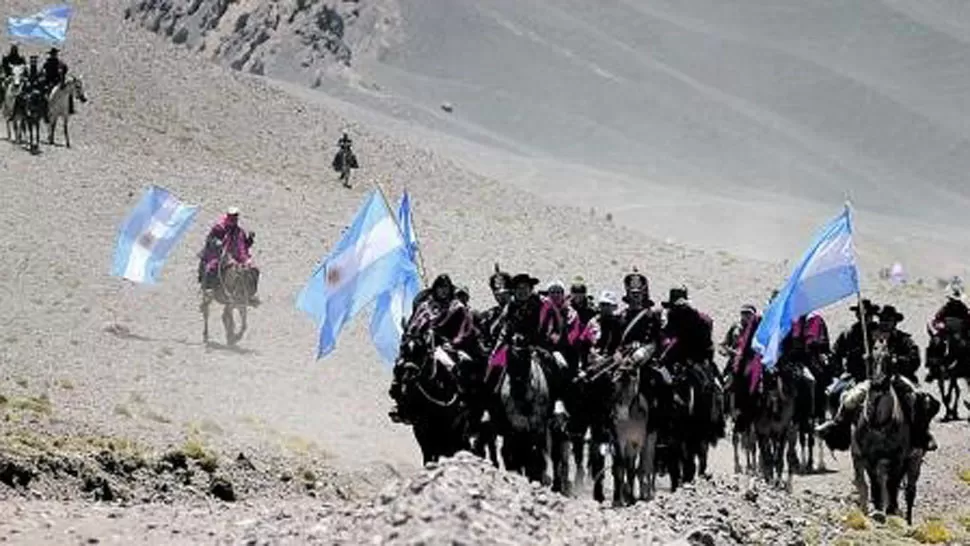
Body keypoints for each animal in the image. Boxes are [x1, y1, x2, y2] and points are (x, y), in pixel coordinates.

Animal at [852, 334, 912, 520]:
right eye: (872, 357)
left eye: (889, 358)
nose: (878, 384)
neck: (879, 425)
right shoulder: (868, 458)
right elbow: (874, 483)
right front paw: (878, 508)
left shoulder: (898, 458)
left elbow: (893, 483)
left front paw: (891, 509)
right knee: (869, 482)